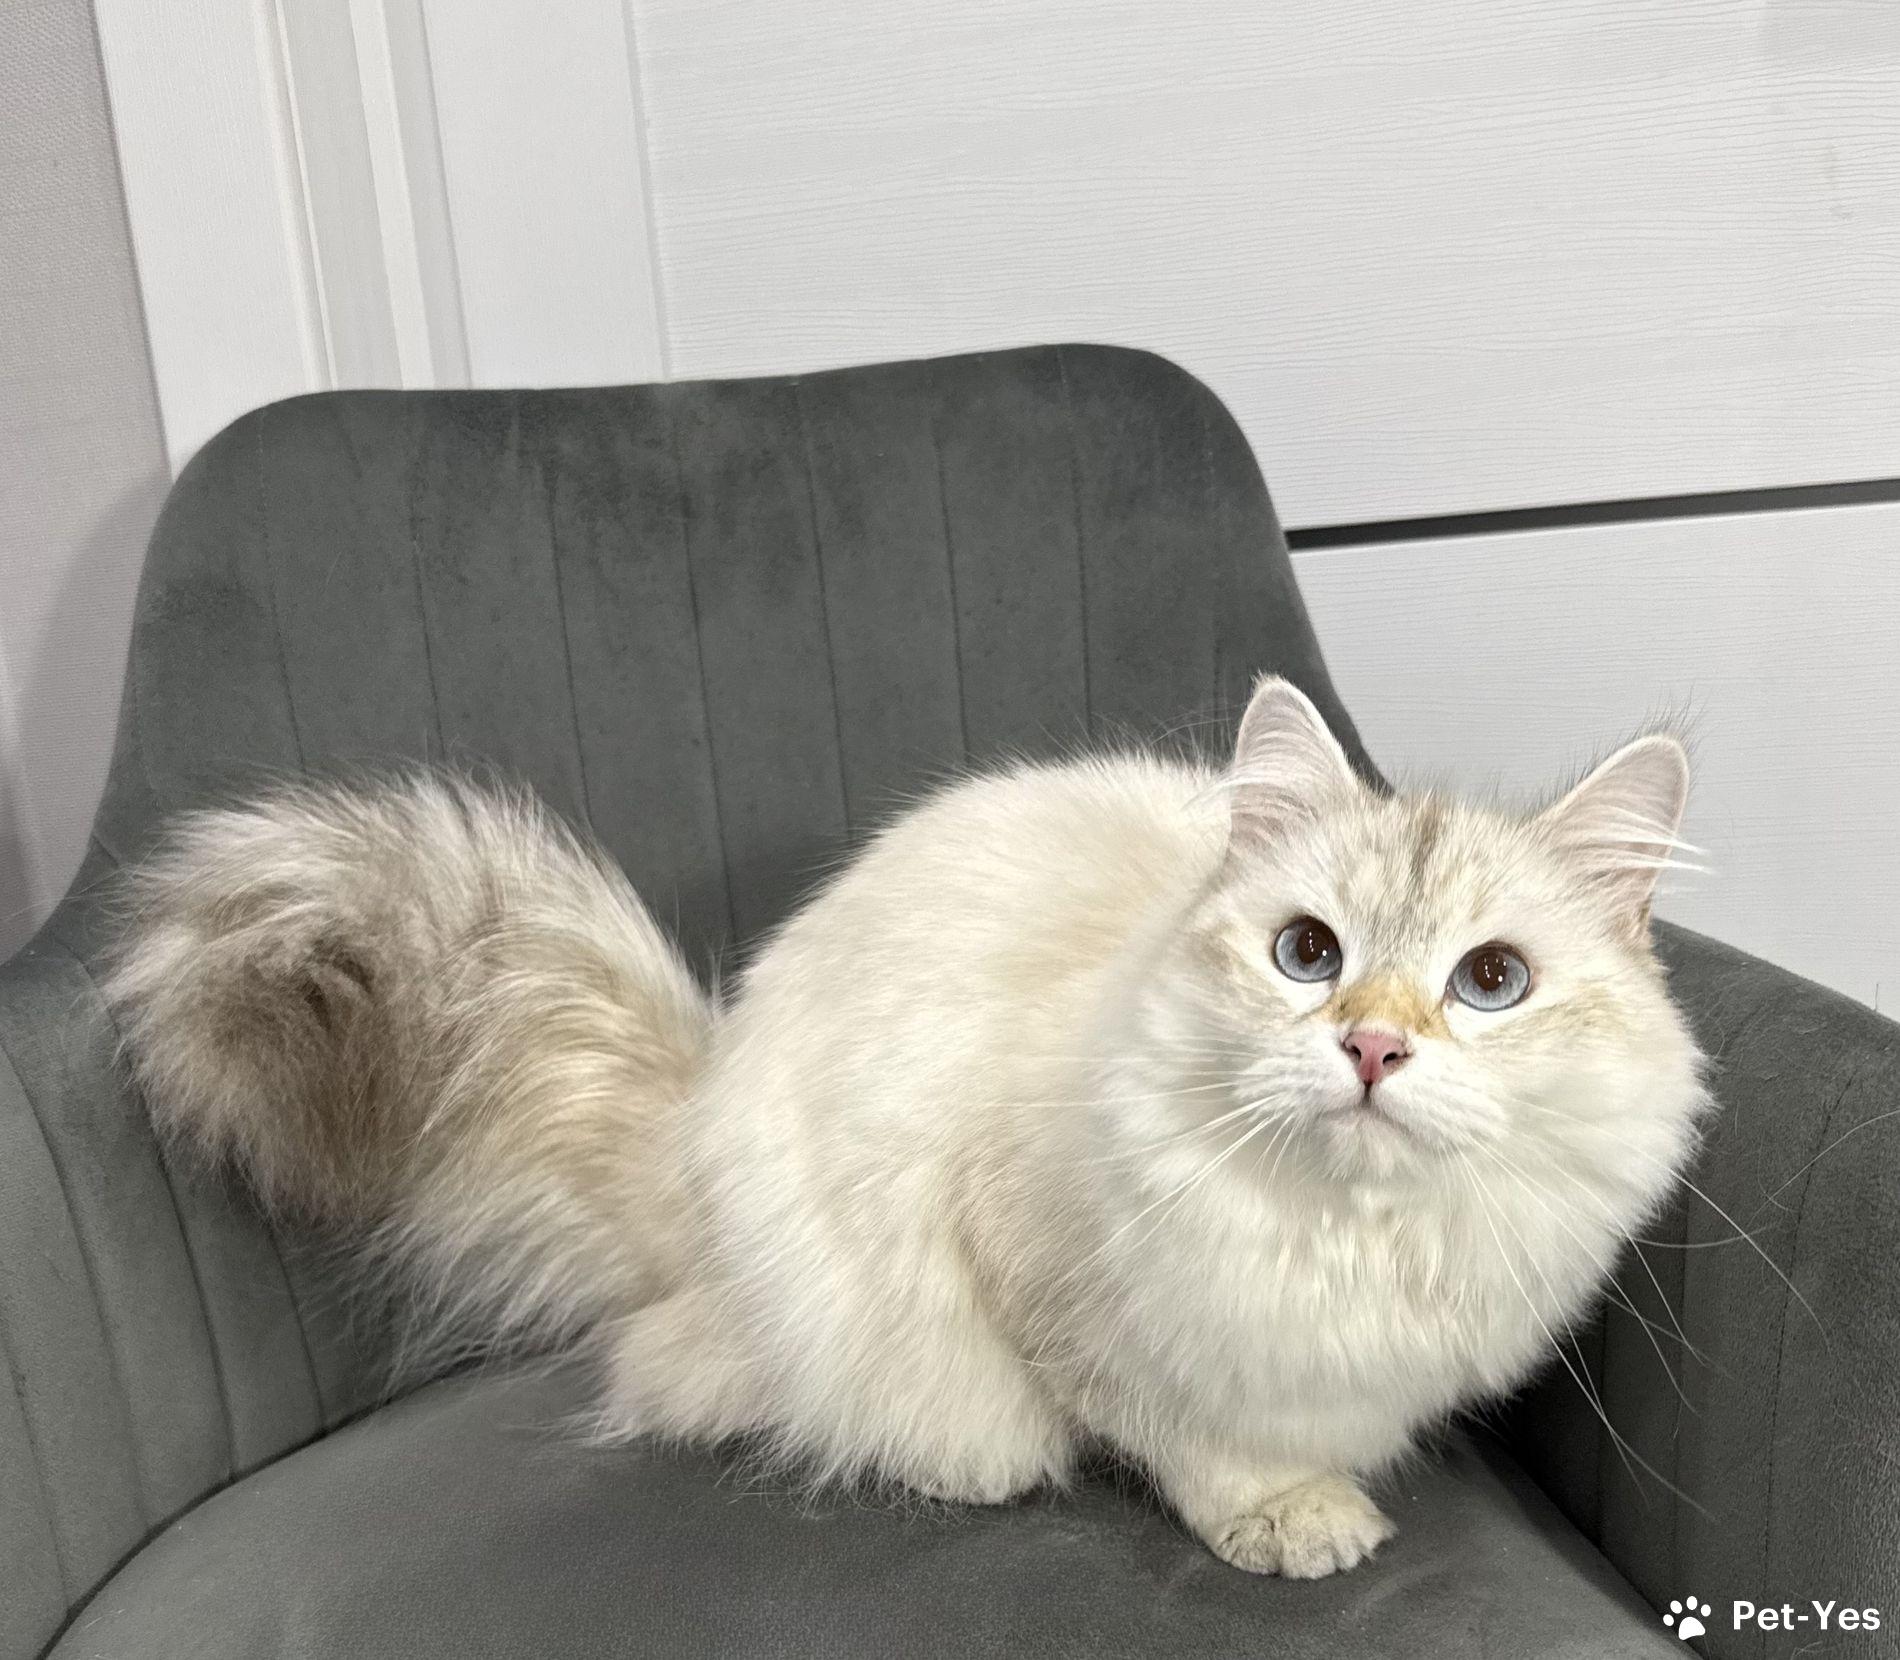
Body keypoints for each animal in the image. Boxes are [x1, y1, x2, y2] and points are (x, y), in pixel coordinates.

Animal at [105, 675, 1707, 1578]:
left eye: (1490, 982)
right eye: (1306, 953)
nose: (1371, 1046)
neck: (1346, 1239)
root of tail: (693, 1139)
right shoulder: (1052, 1287)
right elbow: (1189, 1437)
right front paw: (1287, 1519)